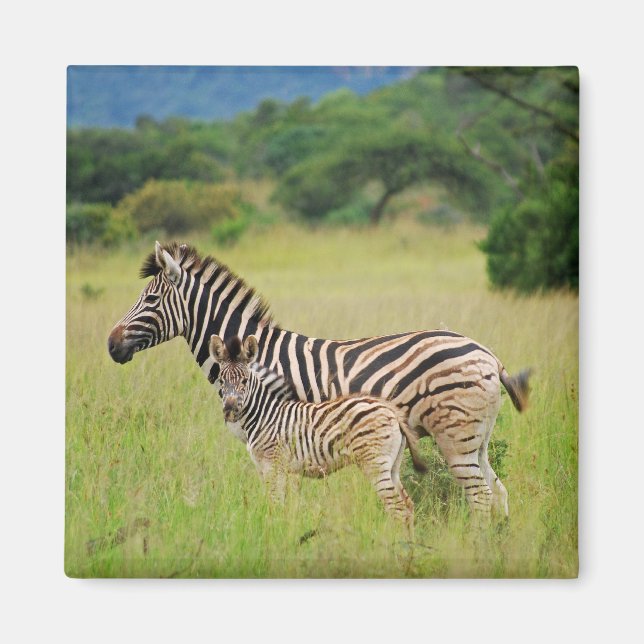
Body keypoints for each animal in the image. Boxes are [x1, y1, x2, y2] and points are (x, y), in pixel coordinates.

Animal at [209, 333, 426, 530]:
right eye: (221, 380)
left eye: (244, 381)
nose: (229, 409)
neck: (265, 414)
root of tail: (391, 410)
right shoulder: (266, 468)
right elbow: (276, 504)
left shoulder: (273, 464)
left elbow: (276, 505)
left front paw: (276, 535)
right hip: (392, 465)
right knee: (408, 506)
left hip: (375, 463)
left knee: (397, 509)